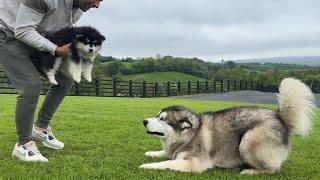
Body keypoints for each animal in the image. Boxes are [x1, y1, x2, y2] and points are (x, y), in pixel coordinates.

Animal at [141, 78, 316, 175]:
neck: (189, 135)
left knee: (273, 168)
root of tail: (278, 116)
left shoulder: (194, 163)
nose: (144, 121)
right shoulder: (173, 151)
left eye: (162, 119)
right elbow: (164, 154)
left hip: (247, 141)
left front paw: (147, 166)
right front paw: (151, 153)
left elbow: (166, 163)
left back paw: (251, 171)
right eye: (157, 115)